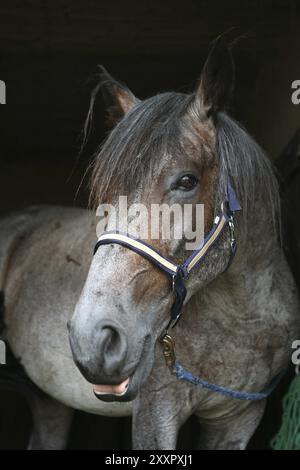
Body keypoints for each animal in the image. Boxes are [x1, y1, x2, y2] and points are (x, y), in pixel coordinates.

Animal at [0, 39, 300, 448]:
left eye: (187, 181)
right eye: (104, 193)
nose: (93, 339)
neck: (241, 321)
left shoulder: (238, 419)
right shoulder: (155, 413)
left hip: (49, 400)